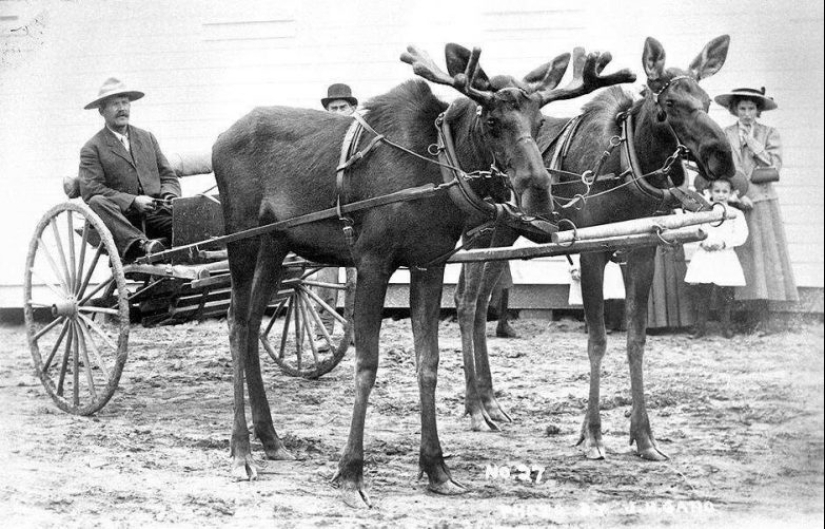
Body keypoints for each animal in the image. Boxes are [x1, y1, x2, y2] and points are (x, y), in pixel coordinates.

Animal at [211, 43, 632, 506]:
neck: (440, 174)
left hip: (276, 244)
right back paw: (241, 450)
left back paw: (269, 438)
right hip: (241, 238)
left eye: (539, 121)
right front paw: (351, 473)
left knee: (252, 323)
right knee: (235, 321)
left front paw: (436, 468)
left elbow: (428, 361)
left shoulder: (429, 263)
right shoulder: (372, 260)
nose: (538, 189)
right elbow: (366, 364)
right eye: (492, 121)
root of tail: (218, 140)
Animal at [458, 35, 732, 460]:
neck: (628, 170)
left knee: (477, 298)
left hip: (503, 234)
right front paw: (592, 434)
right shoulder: (592, 252)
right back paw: (475, 407)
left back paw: (489, 402)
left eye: (707, 100)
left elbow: (636, 340)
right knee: (468, 301)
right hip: (482, 232)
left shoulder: (642, 251)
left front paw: (644, 437)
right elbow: (598, 341)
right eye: (670, 103)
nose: (723, 156)